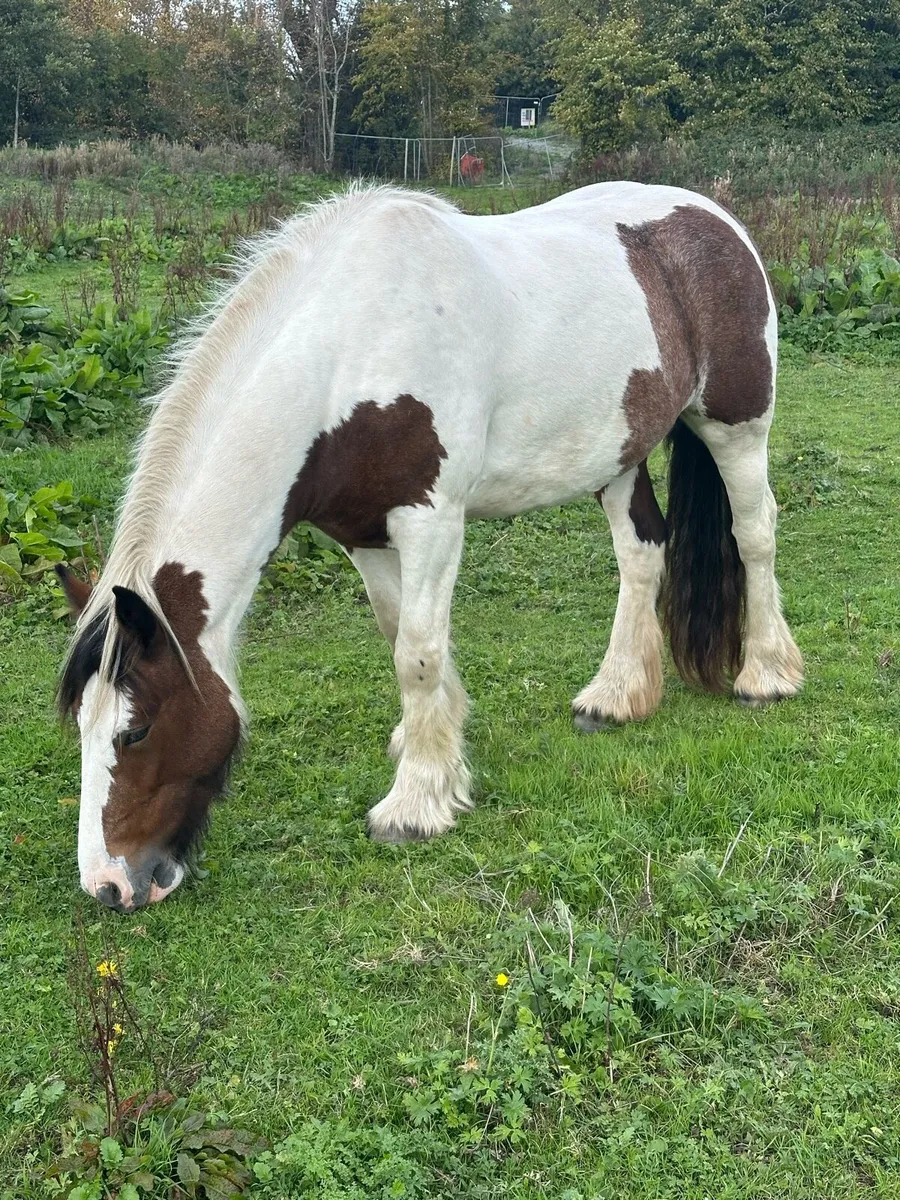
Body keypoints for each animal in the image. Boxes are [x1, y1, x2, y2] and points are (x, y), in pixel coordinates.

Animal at [57, 182, 803, 912]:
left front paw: (414, 805)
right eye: (81, 727)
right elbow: (400, 634)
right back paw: (615, 695)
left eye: (135, 731)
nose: (110, 885)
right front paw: (441, 752)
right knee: (642, 552)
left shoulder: (431, 519)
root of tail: (715, 217)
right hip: (619, 454)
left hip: (737, 426)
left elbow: (417, 652)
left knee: (755, 534)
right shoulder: (361, 533)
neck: (350, 349)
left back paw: (766, 675)